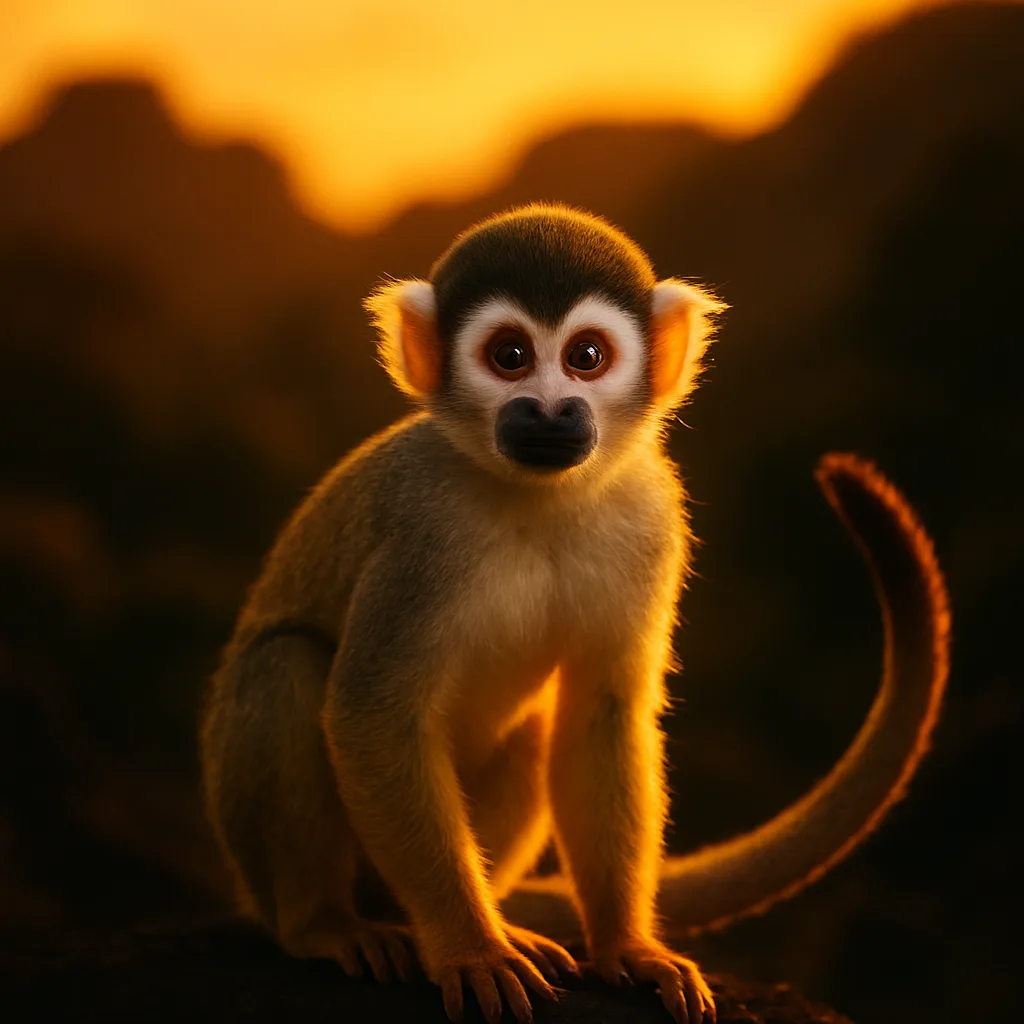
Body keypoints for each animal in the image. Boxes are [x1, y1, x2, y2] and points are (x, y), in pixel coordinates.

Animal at [200, 204, 949, 1024]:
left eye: (586, 356)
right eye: (510, 356)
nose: (551, 409)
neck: (543, 496)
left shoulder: (653, 517)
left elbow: (600, 713)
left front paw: (625, 944)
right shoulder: (422, 523)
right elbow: (373, 715)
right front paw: (472, 947)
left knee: (531, 729)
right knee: (284, 666)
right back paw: (327, 922)